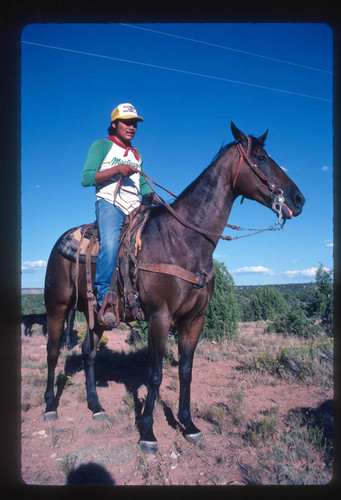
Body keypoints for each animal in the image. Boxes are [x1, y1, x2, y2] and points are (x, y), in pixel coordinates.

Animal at [43, 122, 302, 454]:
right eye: (261, 157)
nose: (298, 199)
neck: (182, 240)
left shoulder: (194, 320)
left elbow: (185, 372)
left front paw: (188, 424)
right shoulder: (159, 318)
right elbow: (154, 375)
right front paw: (148, 432)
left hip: (97, 315)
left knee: (89, 353)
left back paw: (96, 406)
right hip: (57, 306)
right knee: (52, 352)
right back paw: (50, 406)